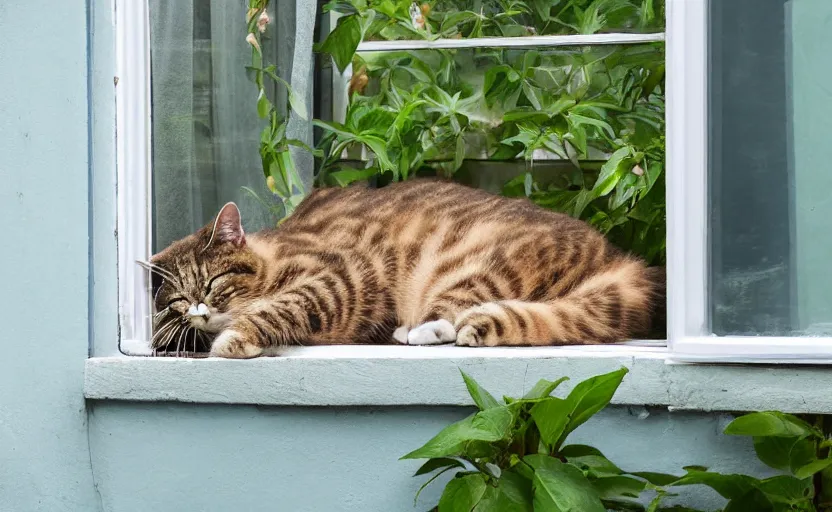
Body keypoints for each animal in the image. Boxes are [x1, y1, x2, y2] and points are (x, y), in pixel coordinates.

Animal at [146, 178, 668, 358]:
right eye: (176, 302)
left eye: (214, 282)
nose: (199, 312)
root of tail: (619, 261)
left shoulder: (343, 275)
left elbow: (284, 307)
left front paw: (235, 338)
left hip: (470, 266)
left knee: (449, 318)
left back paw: (416, 330)